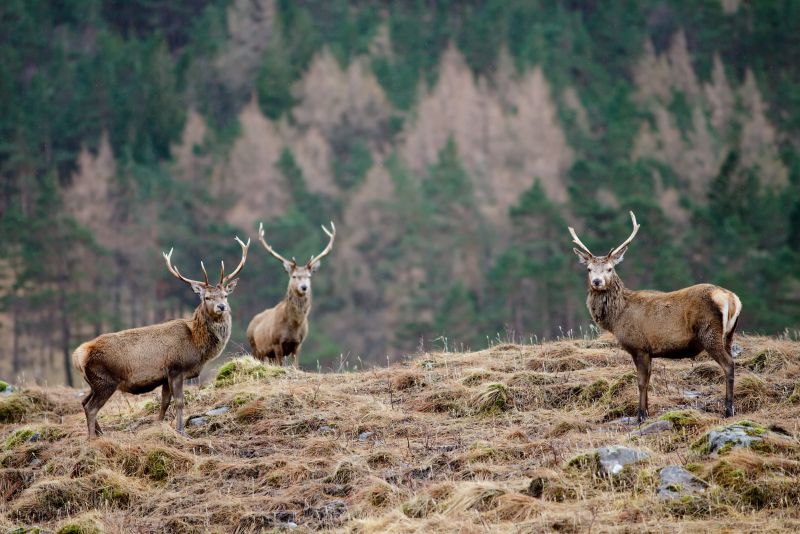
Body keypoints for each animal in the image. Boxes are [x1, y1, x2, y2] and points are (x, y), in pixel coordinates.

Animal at [74, 239, 252, 440]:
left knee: (83, 402)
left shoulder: (165, 375)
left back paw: (101, 433)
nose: (222, 306)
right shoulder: (177, 368)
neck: (197, 345)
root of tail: (78, 354)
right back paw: (92, 438)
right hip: (105, 381)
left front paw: (158, 426)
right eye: (207, 297)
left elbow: (165, 402)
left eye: (225, 295)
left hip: (93, 383)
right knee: (91, 407)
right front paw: (182, 432)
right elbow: (180, 401)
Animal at [247, 222, 334, 368]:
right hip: (255, 347)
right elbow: (280, 365)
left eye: (309, 276)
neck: (294, 326)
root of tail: (250, 324)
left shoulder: (298, 343)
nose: (304, 287)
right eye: (294, 276)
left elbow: (296, 365)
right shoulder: (276, 342)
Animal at [568, 211, 744, 426]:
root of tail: (732, 299)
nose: (597, 281)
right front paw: (647, 412)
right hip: (729, 335)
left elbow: (641, 381)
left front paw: (640, 415)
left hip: (709, 332)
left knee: (729, 364)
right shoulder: (649, 351)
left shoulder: (639, 346)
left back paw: (728, 410)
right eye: (589, 269)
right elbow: (649, 379)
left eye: (609, 268)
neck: (617, 317)